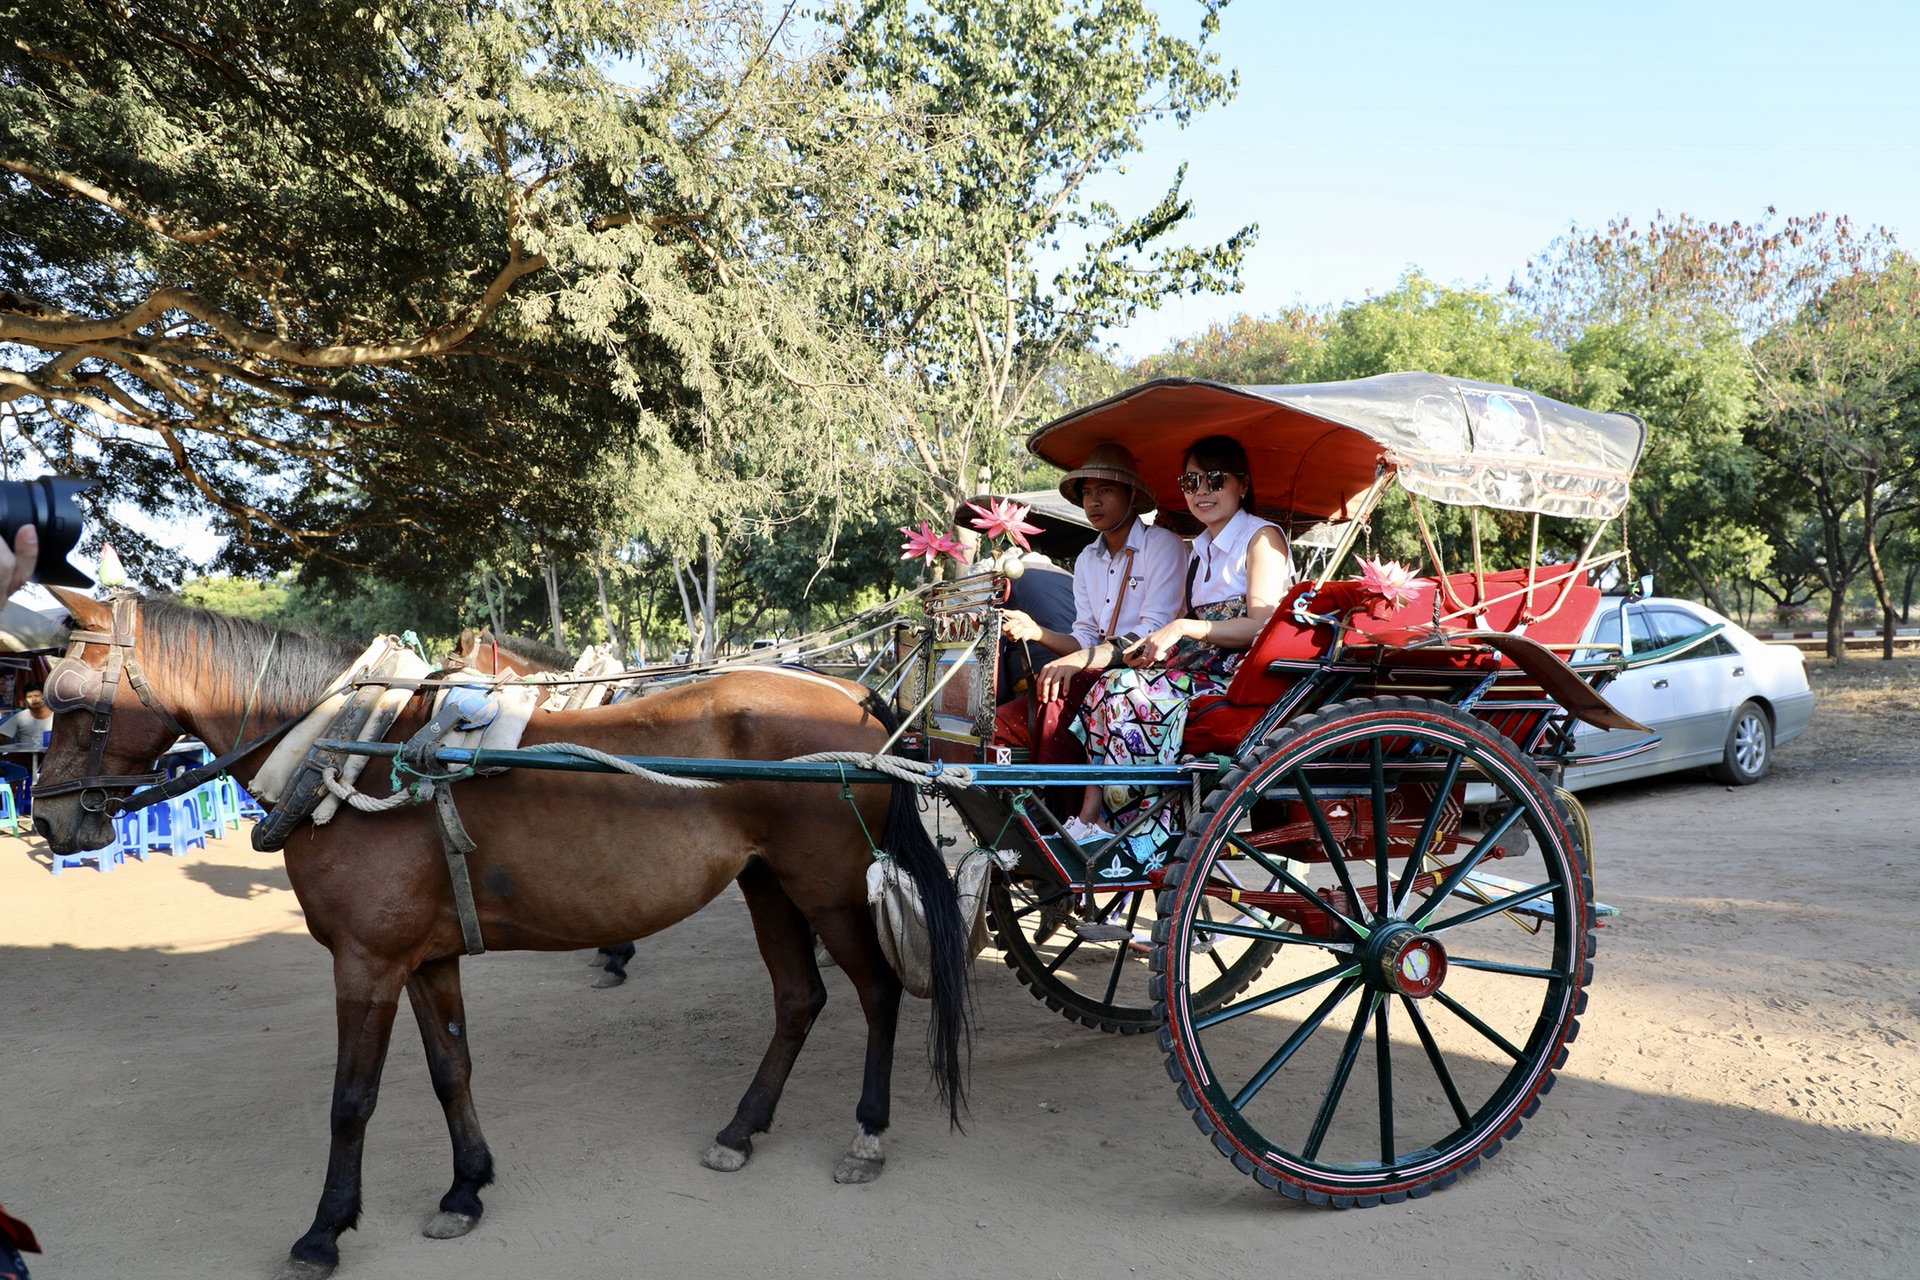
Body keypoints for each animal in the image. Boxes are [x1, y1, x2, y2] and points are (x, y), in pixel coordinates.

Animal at [33, 594, 975, 1280]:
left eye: (73, 701)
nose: (46, 821)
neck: (349, 753)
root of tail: (857, 698)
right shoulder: (423, 958)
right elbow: (451, 1068)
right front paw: (465, 1188)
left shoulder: (366, 963)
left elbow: (351, 1099)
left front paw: (325, 1230)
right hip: (768, 883)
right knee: (798, 998)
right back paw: (741, 1129)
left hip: (827, 887)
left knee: (877, 992)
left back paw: (867, 1132)